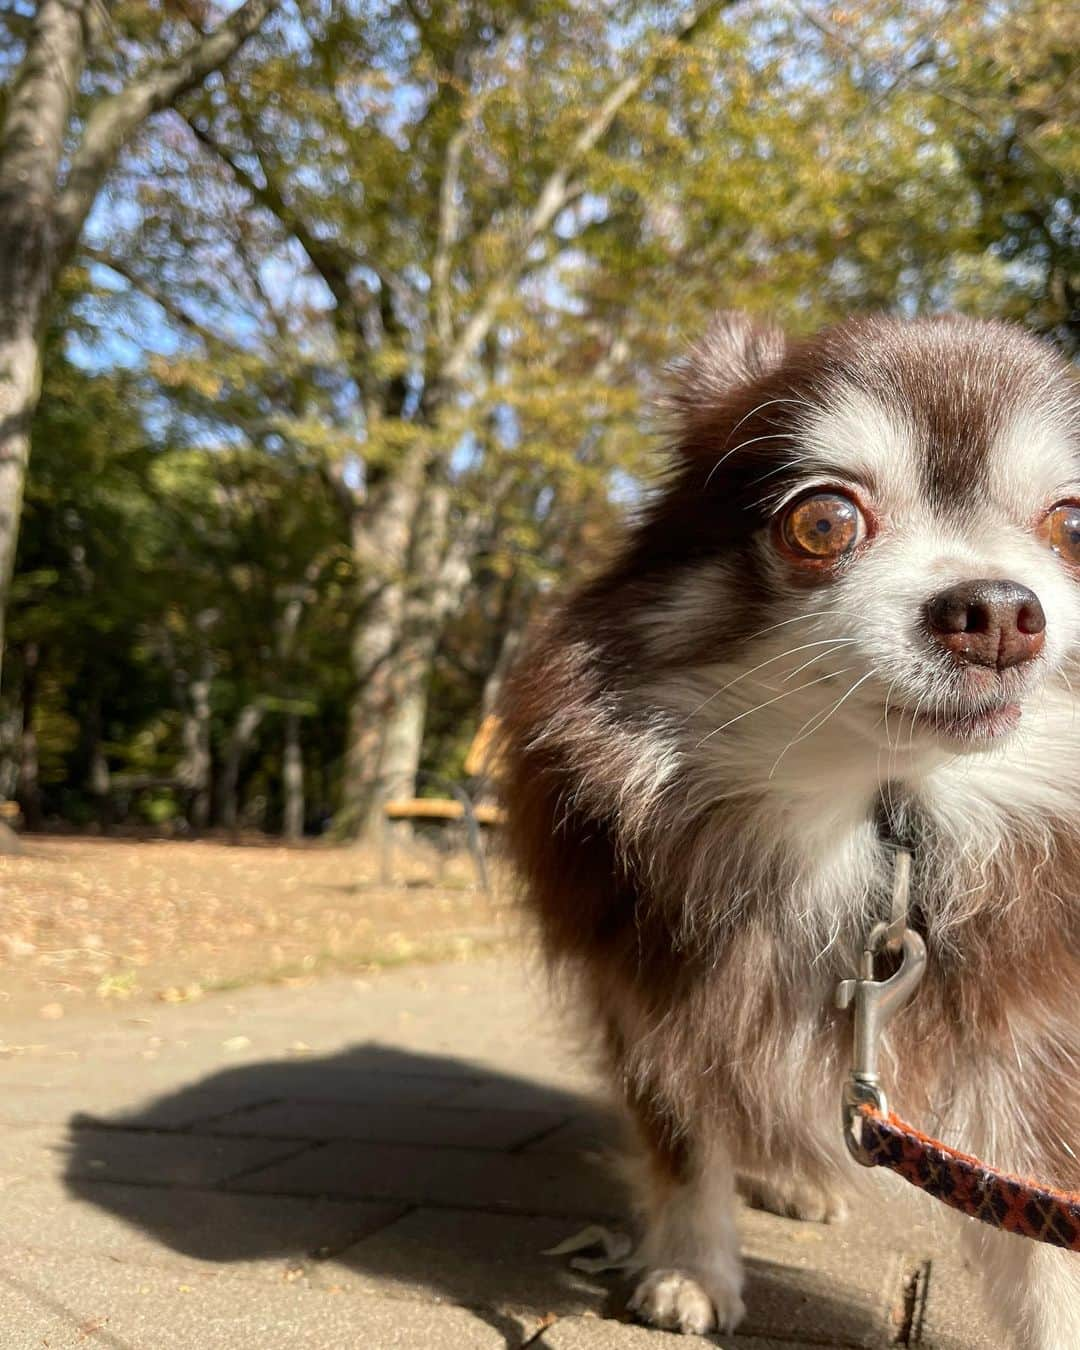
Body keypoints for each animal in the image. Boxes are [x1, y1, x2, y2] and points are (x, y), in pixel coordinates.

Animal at [496, 315, 1080, 1350]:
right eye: (824, 523)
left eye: (1073, 526)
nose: (1002, 613)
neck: (885, 823)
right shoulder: (655, 991)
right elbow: (686, 1135)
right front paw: (691, 1266)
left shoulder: (1030, 1045)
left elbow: (1044, 1249)